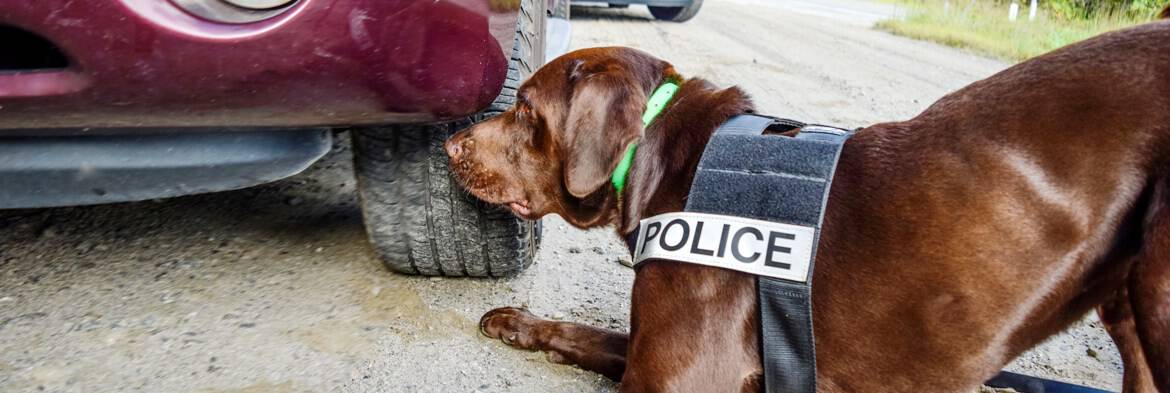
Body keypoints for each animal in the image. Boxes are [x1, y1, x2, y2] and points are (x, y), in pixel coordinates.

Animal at [439, 21, 1170, 392]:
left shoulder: (677, 378)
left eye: (525, 111)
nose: (448, 142)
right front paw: (516, 321)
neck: (668, 160)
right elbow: (585, 332)